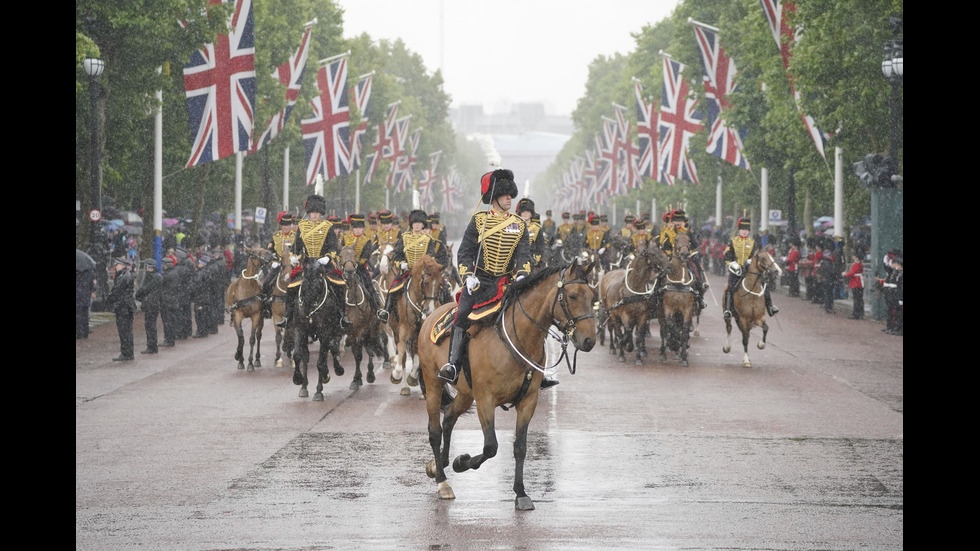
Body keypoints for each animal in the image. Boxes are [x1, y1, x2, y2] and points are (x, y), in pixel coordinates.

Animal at [290, 258, 344, 402]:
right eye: (303, 283)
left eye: (319, 283)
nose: (308, 313)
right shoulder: (299, 329)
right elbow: (297, 355)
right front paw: (298, 379)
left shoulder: (325, 333)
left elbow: (320, 362)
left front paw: (319, 391)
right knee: (308, 356)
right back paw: (305, 386)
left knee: (332, 349)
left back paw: (335, 370)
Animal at [338, 246, 388, 392]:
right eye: (340, 255)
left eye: (355, 255)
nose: (349, 271)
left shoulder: (359, 330)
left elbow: (358, 355)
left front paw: (357, 379)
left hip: (371, 330)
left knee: (370, 350)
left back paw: (370, 374)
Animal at [386, 256, 444, 396]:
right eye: (426, 283)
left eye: (440, 284)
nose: (430, 311)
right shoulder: (402, 333)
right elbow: (401, 354)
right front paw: (396, 375)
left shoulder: (420, 335)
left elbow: (418, 358)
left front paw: (413, 377)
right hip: (396, 332)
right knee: (403, 357)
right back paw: (404, 387)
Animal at [416, 260, 596, 512]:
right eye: (572, 296)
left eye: (592, 296)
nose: (589, 341)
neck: (518, 337)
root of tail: (432, 315)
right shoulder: (486, 400)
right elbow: (491, 446)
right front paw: (462, 462)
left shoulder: (528, 401)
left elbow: (520, 447)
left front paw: (521, 493)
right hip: (434, 384)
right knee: (435, 431)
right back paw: (443, 482)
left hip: (465, 393)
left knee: (449, 416)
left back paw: (438, 464)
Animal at [660, 233, 696, 366]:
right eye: (676, 240)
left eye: (689, 240)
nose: (684, 254)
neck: (679, 283)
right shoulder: (668, 307)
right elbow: (670, 325)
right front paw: (674, 343)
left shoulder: (687, 310)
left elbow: (684, 332)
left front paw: (684, 357)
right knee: (664, 330)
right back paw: (663, 352)